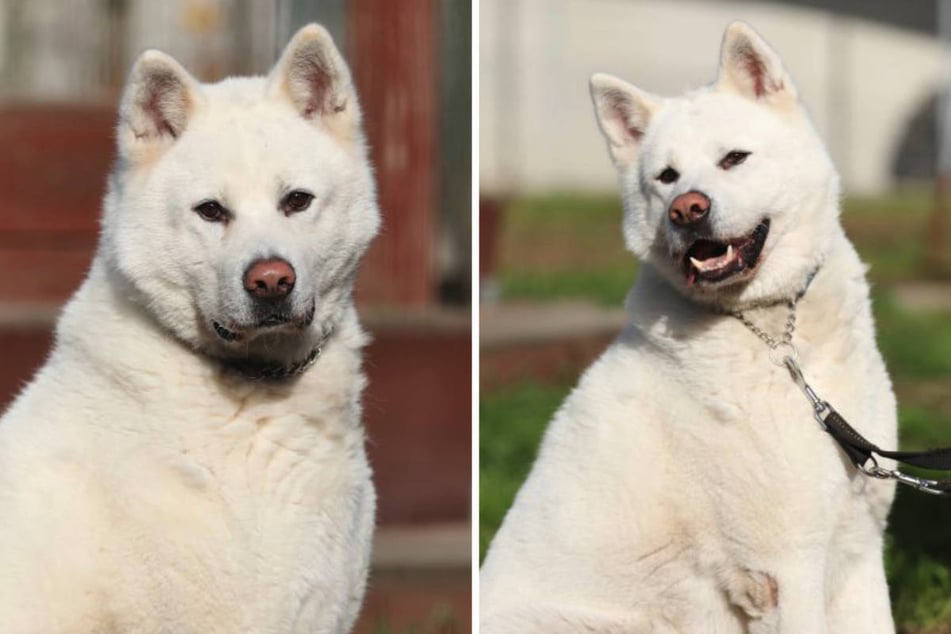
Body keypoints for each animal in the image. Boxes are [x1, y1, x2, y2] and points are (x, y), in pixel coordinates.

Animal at [484, 22, 900, 628]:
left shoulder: (860, 549)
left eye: (734, 158)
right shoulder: (787, 568)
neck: (773, 334)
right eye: (667, 177)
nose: (687, 209)